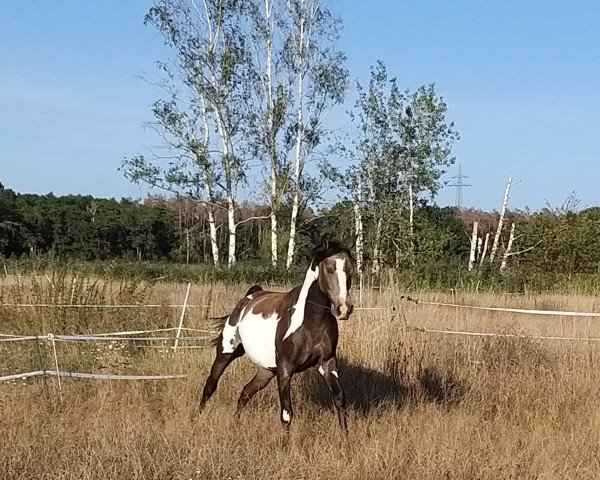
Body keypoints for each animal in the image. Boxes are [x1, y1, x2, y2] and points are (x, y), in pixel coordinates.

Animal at [197, 240, 356, 436]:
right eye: (329, 268)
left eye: (351, 270)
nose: (344, 309)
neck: (311, 322)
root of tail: (249, 297)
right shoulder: (285, 368)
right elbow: (286, 413)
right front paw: (285, 443)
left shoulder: (327, 363)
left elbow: (339, 399)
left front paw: (345, 439)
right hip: (226, 352)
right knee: (210, 386)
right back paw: (196, 420)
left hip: (266, 371)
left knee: (245, 392)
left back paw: (235, 424)